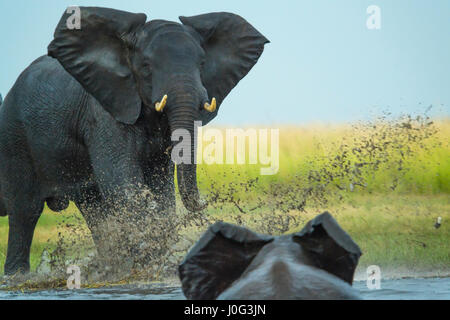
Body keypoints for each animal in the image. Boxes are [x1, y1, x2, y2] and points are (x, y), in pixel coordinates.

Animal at [0, 6, 268, 274]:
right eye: (147, 66)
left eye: (202, 63)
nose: (206, 203)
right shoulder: (104, 112)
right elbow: (122, 183)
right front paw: (149, 258)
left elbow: (160, 186)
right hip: (15, 138)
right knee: (25, 210)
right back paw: (18, 276)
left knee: (92, 207)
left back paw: (110, 265)